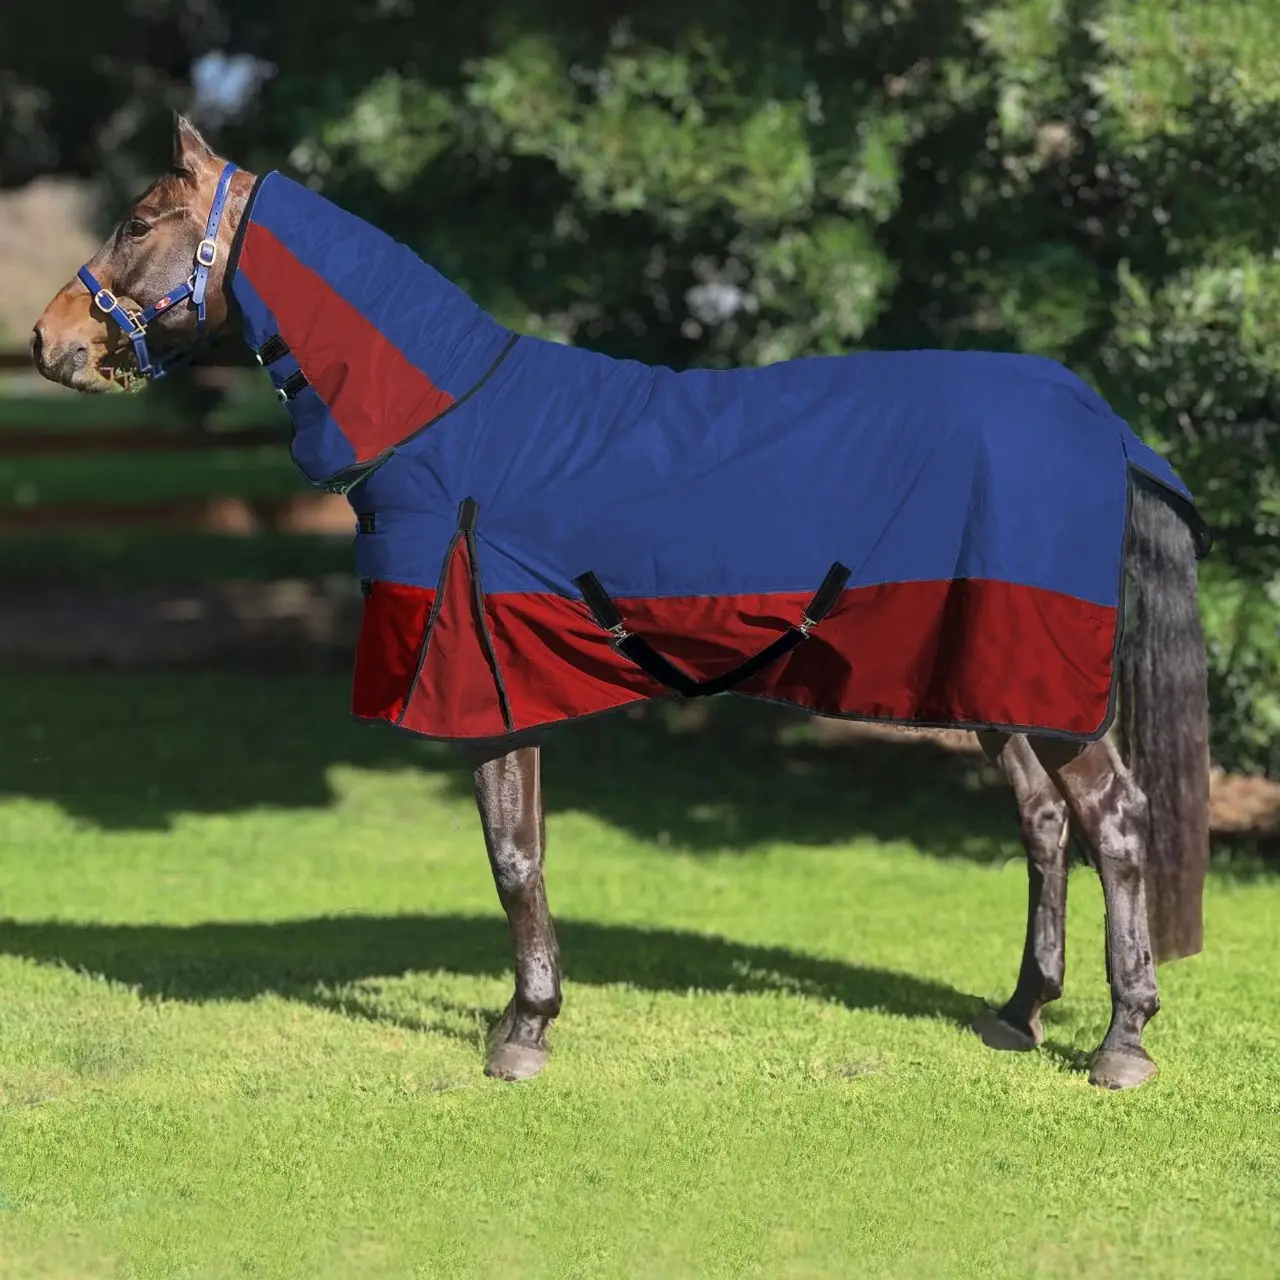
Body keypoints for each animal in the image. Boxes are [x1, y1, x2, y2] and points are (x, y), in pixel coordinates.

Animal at [31, 114, 1211, 1090]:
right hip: (991, 683)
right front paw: (534, 1014)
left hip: (1045, 687)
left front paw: (521, 1031)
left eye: (140, 221)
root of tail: (1096, 419)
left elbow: (511, 857)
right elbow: (526, 851)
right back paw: (1019, 1010)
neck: (450, 421)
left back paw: (1120, 1041)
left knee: (1113, 819)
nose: (49, 342)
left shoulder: (482, 691)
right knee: (1044, 821)